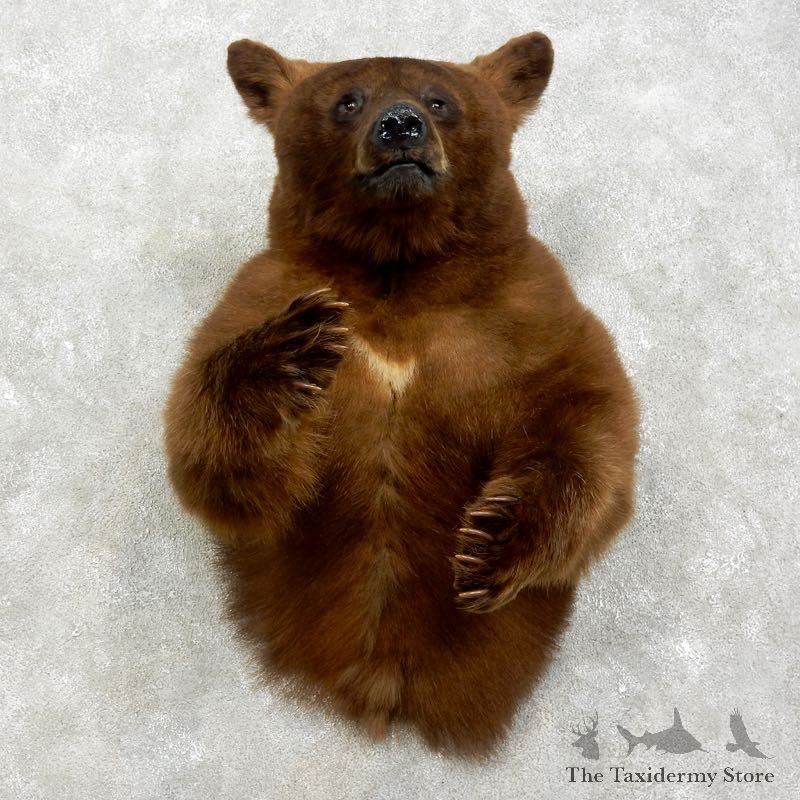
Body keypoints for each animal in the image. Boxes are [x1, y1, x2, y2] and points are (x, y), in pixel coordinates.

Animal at [163, 32, 639, 756]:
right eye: (348, 100)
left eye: (440, 100)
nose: (400, 126)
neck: (399, 277)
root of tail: (384, 687)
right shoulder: (258, 293)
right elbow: (211, 461)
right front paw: (291, 352)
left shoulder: (528, 317)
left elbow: (589, 421)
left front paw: (491, 544)